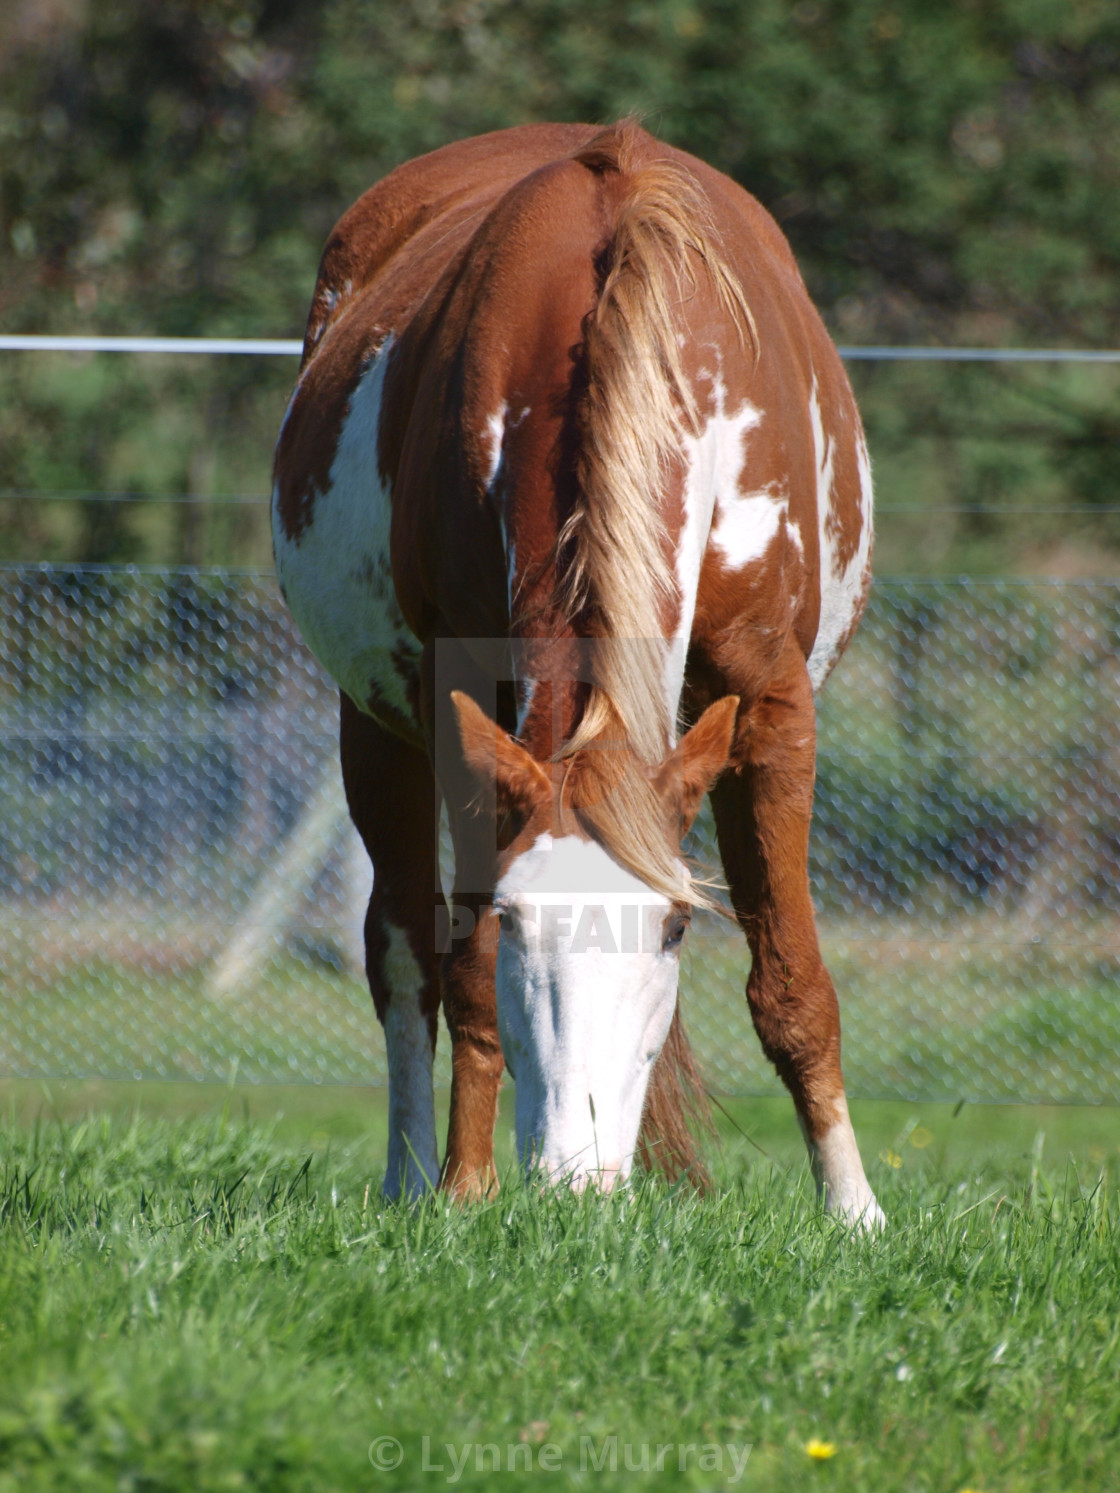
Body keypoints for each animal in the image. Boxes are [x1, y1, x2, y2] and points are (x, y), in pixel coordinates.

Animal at [271, 122, 884, 1224]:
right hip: (371, 726)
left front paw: (854, 1210)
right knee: (401, 950)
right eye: (519, 918)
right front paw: (466, 1190)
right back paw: (411, 1177)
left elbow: (792, 979)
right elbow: (463, 962)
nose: (574, 1176)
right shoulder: (459, 706)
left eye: (676, 928)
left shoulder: (771, 701)